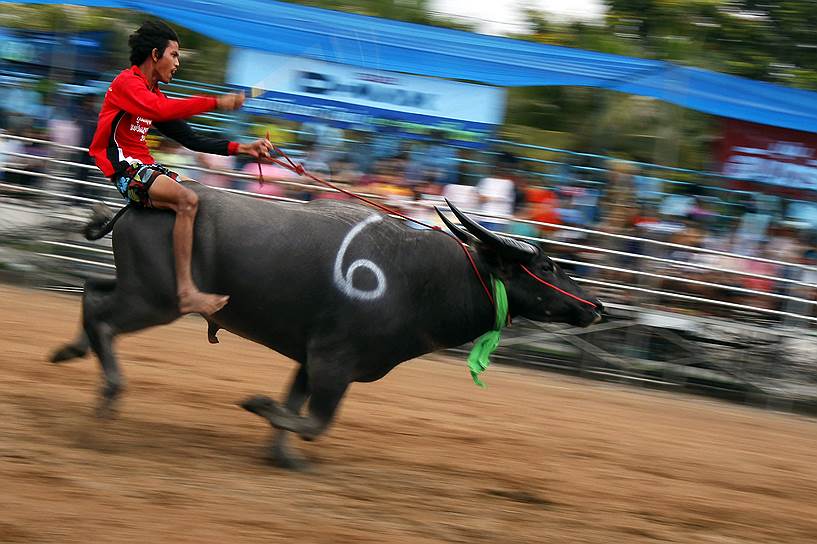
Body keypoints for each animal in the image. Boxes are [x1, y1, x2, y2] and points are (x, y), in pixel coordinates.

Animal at [51, 182, 600, 468]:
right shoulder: (334, 362)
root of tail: (135, 203)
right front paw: (259, 406)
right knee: (102, 314)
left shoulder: (311, 359)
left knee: (90, 289)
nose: (596, 306)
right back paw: (109, 392)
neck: (420, 277)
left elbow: (297, 408)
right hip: (156, 301)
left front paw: (280, 452)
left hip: (138, 289)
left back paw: (70, 351)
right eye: (547, 265)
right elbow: (314, 422)